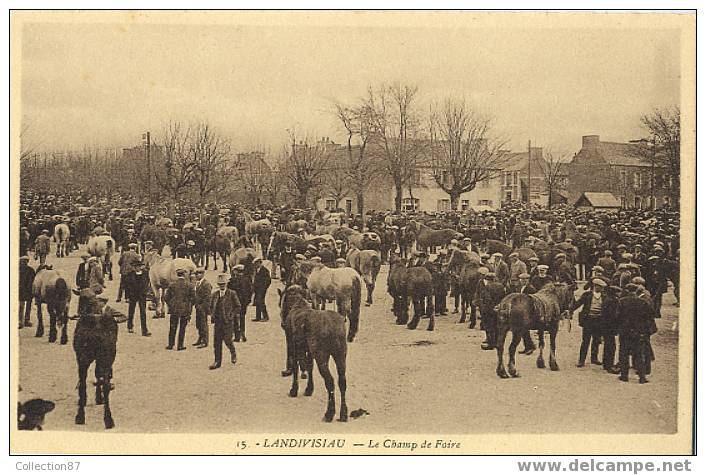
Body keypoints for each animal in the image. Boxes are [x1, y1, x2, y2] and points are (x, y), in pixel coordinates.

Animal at [72, 290, 127, 432]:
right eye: (82, 297)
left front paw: (95, 398)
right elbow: (98, 375)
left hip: (85, 358)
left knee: (84, 383)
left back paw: (81, 415)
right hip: (107, 357)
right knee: (104, 383)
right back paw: (108, 420)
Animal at [278, 286, 350, 424]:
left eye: (282, 300)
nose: (282, 323)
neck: (297, 304)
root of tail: (332, 327)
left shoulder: (293, 346)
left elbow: (295, 366)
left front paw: (294, 390)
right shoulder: (309, 351)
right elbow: (309, 367)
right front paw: (309, 389)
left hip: (322, 357)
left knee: (330, 381)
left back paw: (329, 413)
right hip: (340, 356)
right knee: (342, 381)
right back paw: (343, 413)